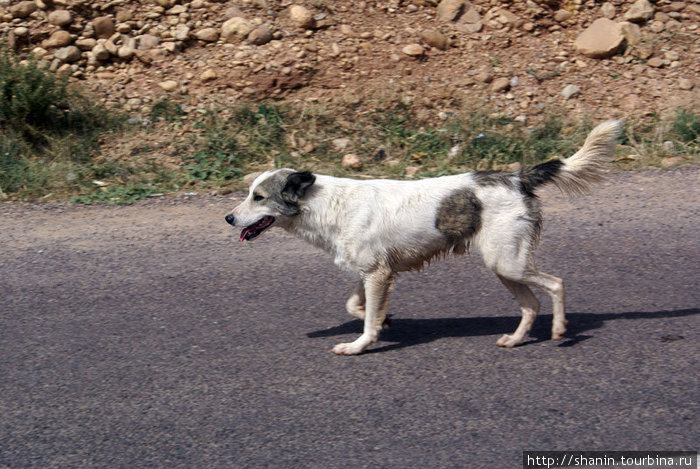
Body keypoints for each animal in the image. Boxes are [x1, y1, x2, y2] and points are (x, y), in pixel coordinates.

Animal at [226, 120, 624, 354]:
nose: (229, 217)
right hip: (504, 266)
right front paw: (383, 320)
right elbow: (356, 307)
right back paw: (515, 339)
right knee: (531, 305)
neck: (325, 204)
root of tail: (516, 176)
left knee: (556, 284)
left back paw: (558, 329)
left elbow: (365, 321)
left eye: (258, 197)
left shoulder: (377, 275)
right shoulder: (372, 273)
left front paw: (360, 344)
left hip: (507, 262)